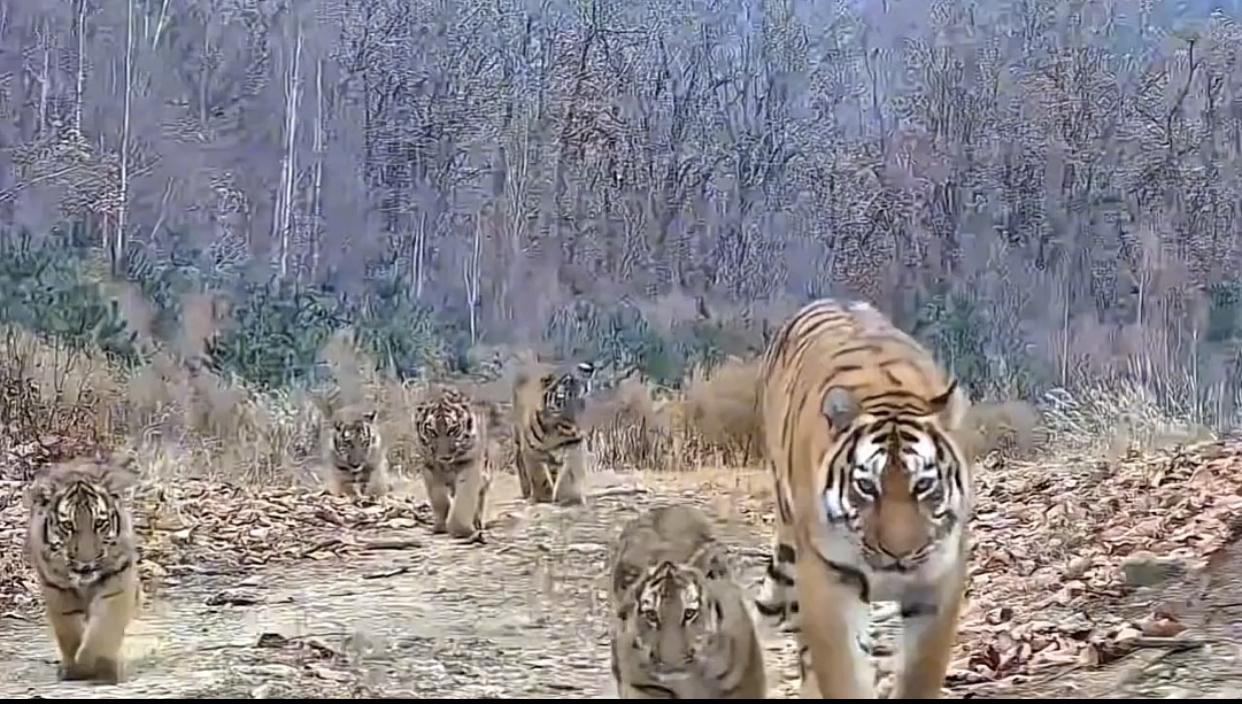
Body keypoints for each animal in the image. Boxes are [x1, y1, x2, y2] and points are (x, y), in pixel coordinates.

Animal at [24, 457, 142, 684]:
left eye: (100, 523)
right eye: (68, 526)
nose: (86, 561)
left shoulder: (117, 580)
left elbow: (102, 630)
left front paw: (97, 666)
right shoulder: (57, 589)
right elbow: (69, 632)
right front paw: (74, 669)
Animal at [414, 386, 494, 541]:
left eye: (452, 430)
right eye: (432, 431)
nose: (444, 457)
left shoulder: (469, 463)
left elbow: (464, 500)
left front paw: (462, 530)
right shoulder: (429, 467)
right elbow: (439, 499)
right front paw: (440, 526)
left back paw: (477, 523)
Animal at [512, 361, 596, 506]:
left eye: (582, 403)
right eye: (564, 398)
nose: (579, 426)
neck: (556, 429)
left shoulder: (574, 444)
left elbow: (569, 474)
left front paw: (569, 497)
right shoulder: (531, 450)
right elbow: (539, 477)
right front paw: (544, 497)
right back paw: (527, 492)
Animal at [740, 298, 987, 698]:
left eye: (923, 484)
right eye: (867, 487)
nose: (898, 555)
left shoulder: (938, 579)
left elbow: (920, 673)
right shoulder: (828, 579)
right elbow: (843, 674)